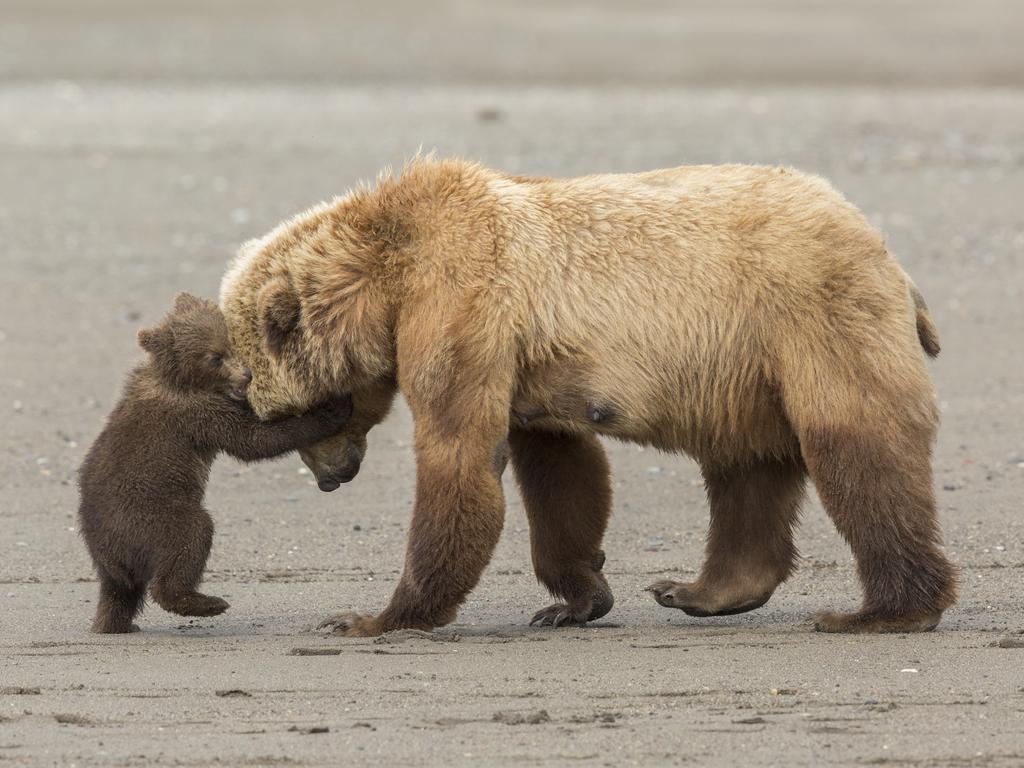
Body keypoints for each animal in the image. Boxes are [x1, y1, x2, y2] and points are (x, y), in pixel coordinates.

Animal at [220, 157, 954, 638]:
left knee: (856, 444)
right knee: (745, 466)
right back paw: (699, 590)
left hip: (810, 314)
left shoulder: (461, 306)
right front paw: (574, 600)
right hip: (744, 371)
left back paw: (883, 610)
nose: (330, 479)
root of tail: (885, 250)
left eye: (292, 414)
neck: (389, 277)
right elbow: (561, 471)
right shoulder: (526, 364)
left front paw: (374, 616)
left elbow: (459, 456)